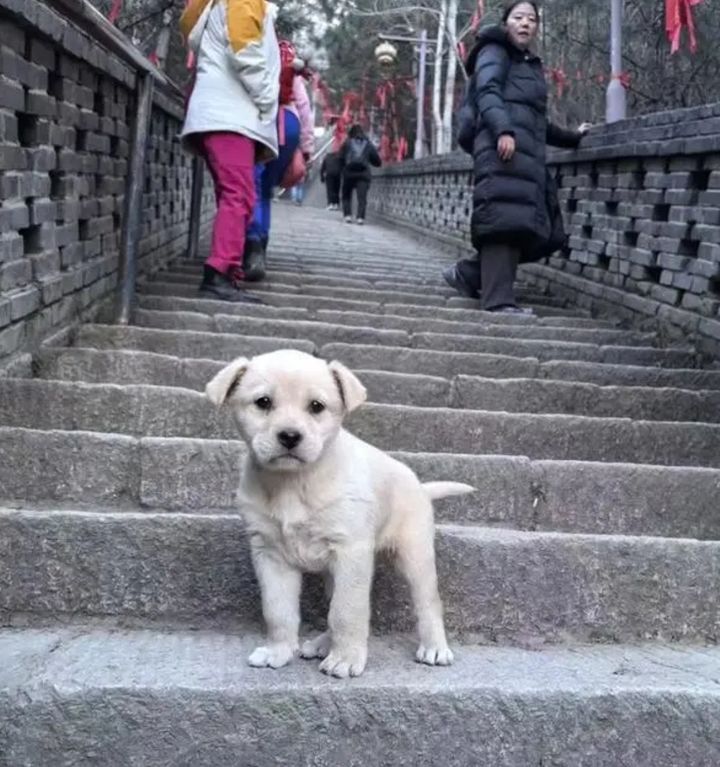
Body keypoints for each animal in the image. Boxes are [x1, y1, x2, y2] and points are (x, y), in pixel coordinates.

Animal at [205, 348, 476, 680]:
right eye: (263, 402)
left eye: (316, 406)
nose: (290, 436)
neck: (293, 483)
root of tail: (420, 487)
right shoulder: (269, 555)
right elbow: (278, 610)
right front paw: (278, 651)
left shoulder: (351, 552)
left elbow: (347, 611)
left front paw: (346, 659)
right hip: (334, 572)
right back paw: (322, 643)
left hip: (415, 556)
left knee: (428, 603)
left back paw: (434, 647)